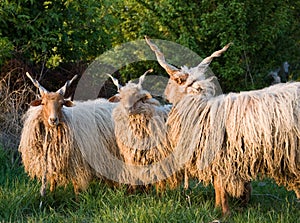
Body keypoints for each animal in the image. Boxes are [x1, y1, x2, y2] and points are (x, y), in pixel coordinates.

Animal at [145, 36, 300, 214]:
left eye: (171, 81)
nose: (163, 95)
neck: (200, 108)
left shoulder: (221, 159)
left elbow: (220, 186)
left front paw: (224, 212)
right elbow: (219, 187)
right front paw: (219, 208)